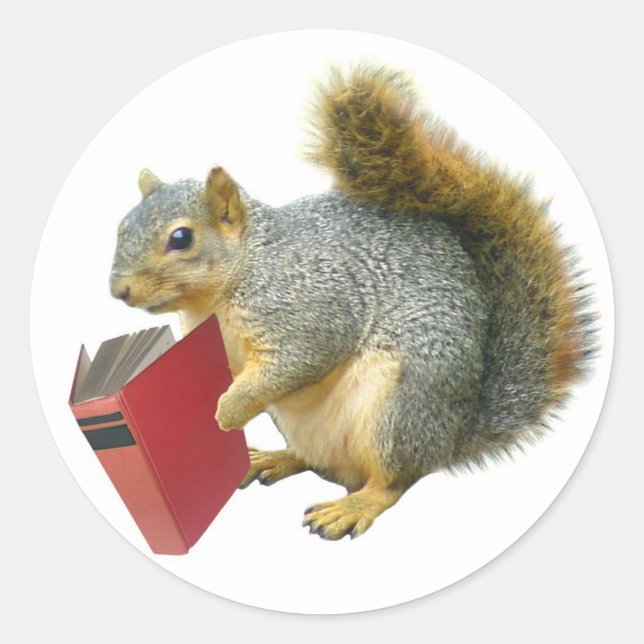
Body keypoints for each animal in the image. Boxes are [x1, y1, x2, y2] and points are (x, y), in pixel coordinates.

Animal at [109, 64, 596, 540]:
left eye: (181, 238)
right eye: (122, 226)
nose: (118, 291)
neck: (237, 277)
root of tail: (454, 434)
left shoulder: (309, 308)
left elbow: (296, 361)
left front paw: (228, 411)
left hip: (399, 412)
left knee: (392, 481)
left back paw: (351, 507)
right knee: (316, 460)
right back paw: (274, 458)